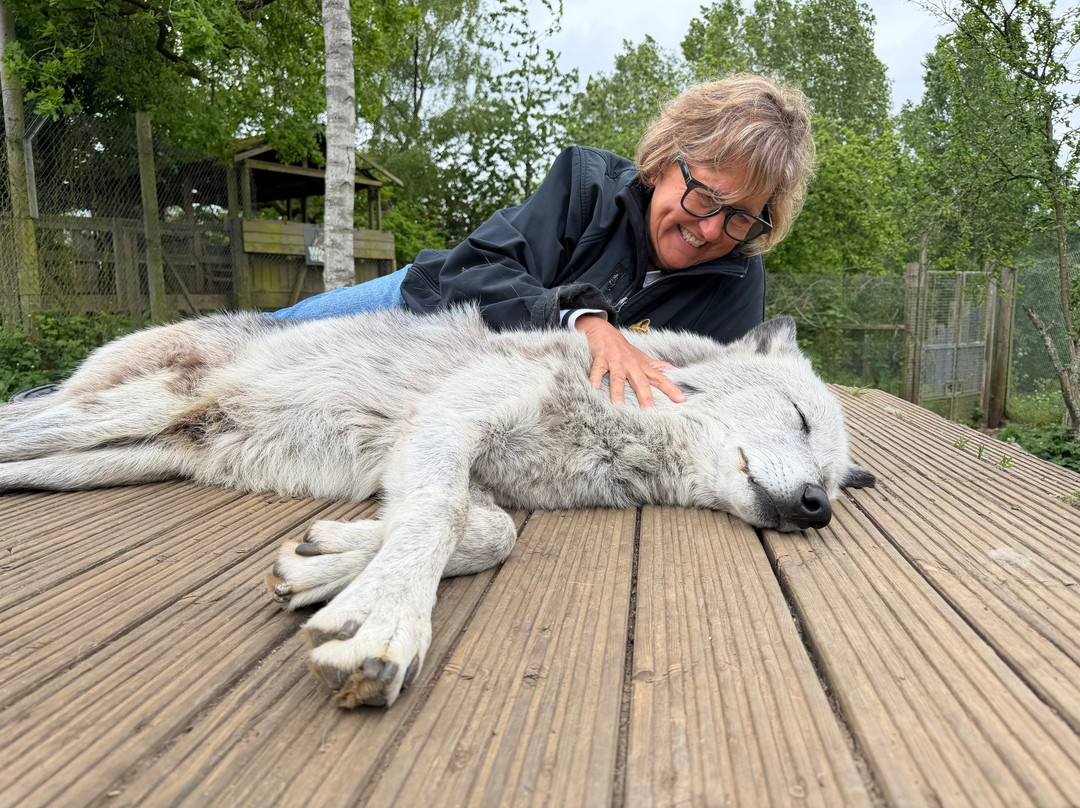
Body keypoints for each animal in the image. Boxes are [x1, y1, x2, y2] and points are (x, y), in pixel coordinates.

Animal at [0, 306, 873, 707]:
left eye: (834, 483)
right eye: (800, 418)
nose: (816, 509)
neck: (607, 430)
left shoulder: (468, 473)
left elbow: (487, 529)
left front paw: (329, 563)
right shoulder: (446, 427)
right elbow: (441, 519)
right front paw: (381, 620)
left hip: (121, 458)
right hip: (121, 413)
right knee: (19, 425)